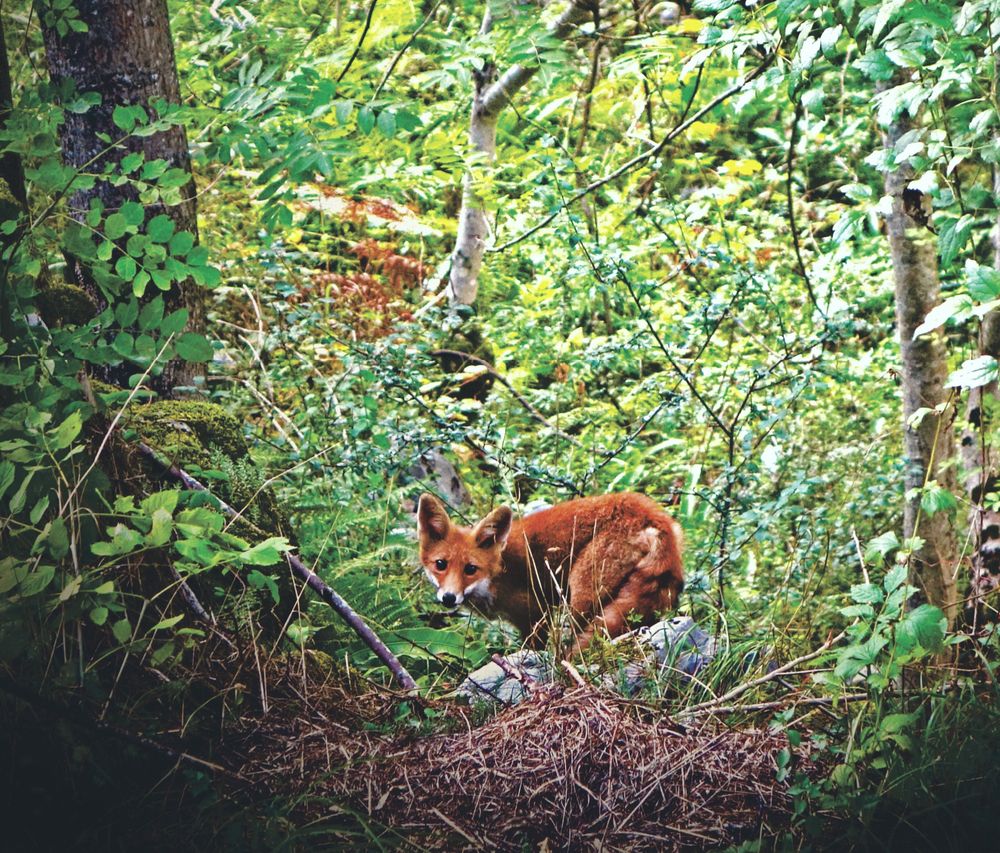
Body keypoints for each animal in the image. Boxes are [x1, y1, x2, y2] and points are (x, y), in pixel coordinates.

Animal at [416, 492, 684, 655]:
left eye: (470, 569)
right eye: (440, 564)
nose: (448, 598)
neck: (498, 573)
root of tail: (653, 515)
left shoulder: (536, 615)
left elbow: (534, 649)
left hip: (582, 599)